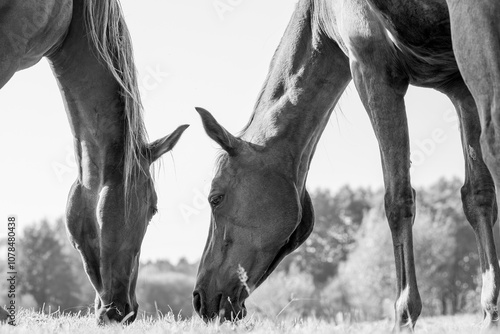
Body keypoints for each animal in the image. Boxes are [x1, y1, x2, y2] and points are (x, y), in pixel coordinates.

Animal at [192, 0, 500, 328]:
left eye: (215, 198)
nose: (199, 298)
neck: (320, 15)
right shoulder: (458, 88)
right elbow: (478, 196)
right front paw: (490, 312)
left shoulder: (372, 69)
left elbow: (398, 200)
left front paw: (404, 315)